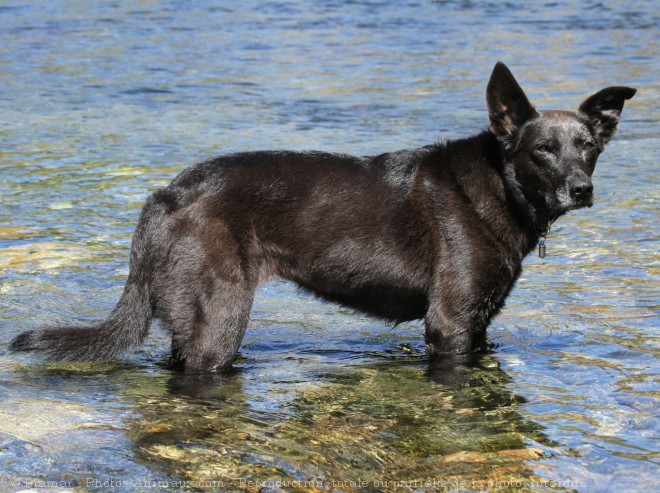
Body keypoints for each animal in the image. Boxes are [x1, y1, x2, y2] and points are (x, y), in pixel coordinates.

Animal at [10, 63, 636, 370]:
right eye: (543, 151)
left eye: (588, 147)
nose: (582, 189)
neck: (500, 187)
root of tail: (165, 195)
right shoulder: (451, 324)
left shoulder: (477, 326)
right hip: (220, 323)